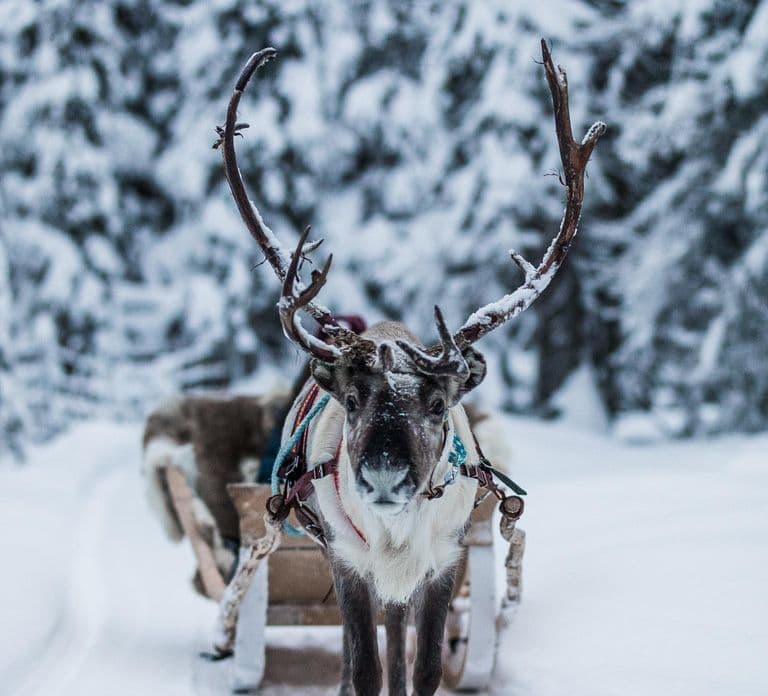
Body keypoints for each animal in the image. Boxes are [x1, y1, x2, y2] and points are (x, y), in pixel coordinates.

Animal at [212, 40, 605, 696]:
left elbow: (423, 669)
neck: (396, 539)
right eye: (352, 400)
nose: (384, 478)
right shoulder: (347, 563)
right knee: (363, 652)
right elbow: (364, 666)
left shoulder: (442, 563)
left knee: (398, 637)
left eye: (439, 404)